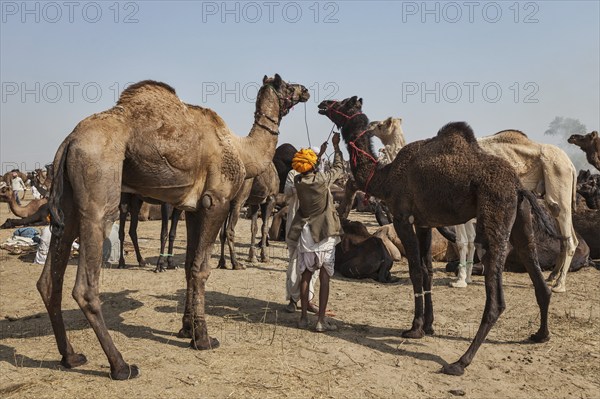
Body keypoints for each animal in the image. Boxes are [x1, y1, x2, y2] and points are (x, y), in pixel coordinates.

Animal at [38, 76, 310, 382]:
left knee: (49, 279)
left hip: (68, 201)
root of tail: (70, 140)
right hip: (99, 186)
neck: (241, 150)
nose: (306, 91)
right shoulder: (216, 201)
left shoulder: (194, 210)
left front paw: (186, 329)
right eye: (288, 86)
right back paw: (121, 366)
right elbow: (201, 269)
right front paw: (203, 338)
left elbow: (189, 266)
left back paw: (71, 357)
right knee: (85, 285)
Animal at [318, 96, 556, 376]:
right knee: (537, 274)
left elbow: (415, 270)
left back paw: (460, 362)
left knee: (496, 299)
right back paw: (540, 335)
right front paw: (429, 325)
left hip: (495, 212)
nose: (323, 104)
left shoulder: (402, 217)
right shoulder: (424, 223)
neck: (384, 178)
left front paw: (415, 327)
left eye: (343, 104)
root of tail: (518, 187)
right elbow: (428, 269)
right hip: (522, 218)